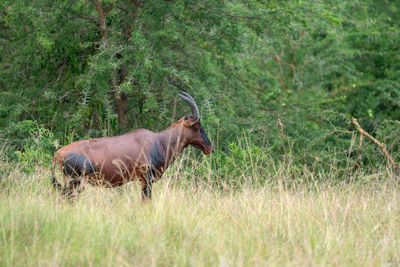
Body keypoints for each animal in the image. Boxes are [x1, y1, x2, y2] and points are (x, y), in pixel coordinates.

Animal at [52, 92, 214, 201]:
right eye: (196, 126)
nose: (210, 148)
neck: (159, 141)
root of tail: (57, 153)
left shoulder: (142, 181)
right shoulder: (147, 179)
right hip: (75, 182)